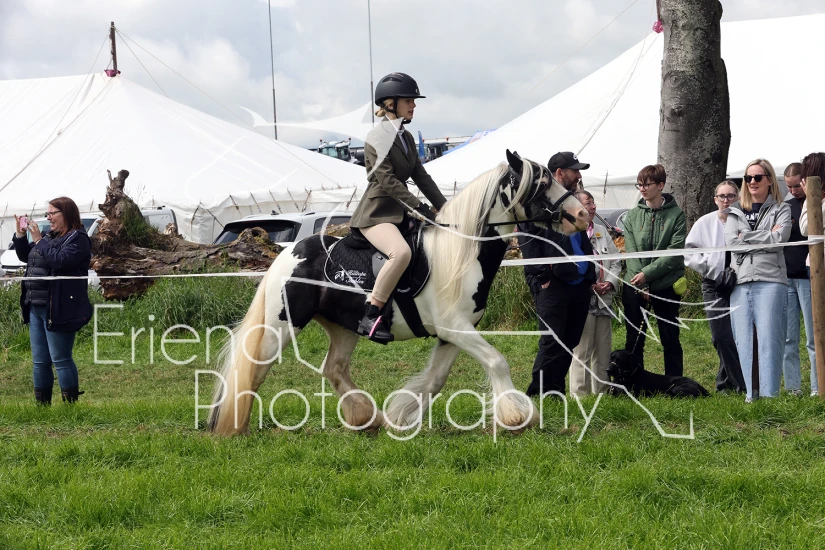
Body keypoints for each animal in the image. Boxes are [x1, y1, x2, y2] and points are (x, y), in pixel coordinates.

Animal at [207, 150, 589, 436]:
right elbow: (497, 361)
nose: (582, 214)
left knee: (335, 368)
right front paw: (517, 418)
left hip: (344, 327)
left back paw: (366, 418)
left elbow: (435, 380)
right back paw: (235, 426)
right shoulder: (456, 328)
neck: (462, 253)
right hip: (283, 323)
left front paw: (401, 414)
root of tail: (289, 253)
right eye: (541, 183)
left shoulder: (454, 332)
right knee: (256, 366)